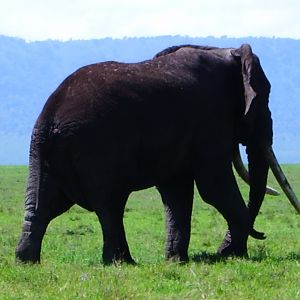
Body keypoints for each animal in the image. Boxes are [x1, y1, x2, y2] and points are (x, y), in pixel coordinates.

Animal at [15, 43, 300, 264]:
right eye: (264, 96)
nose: (261, 234)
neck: (227, 53)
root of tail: (50, 116)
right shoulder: (210, 118)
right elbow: (213, 186)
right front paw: (232, 255)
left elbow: (177, 191)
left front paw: (178, 260)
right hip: (95, 149)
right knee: (110, 204)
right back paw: (123, 262)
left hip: (42, 152)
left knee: (43, 205)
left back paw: (26, 261)